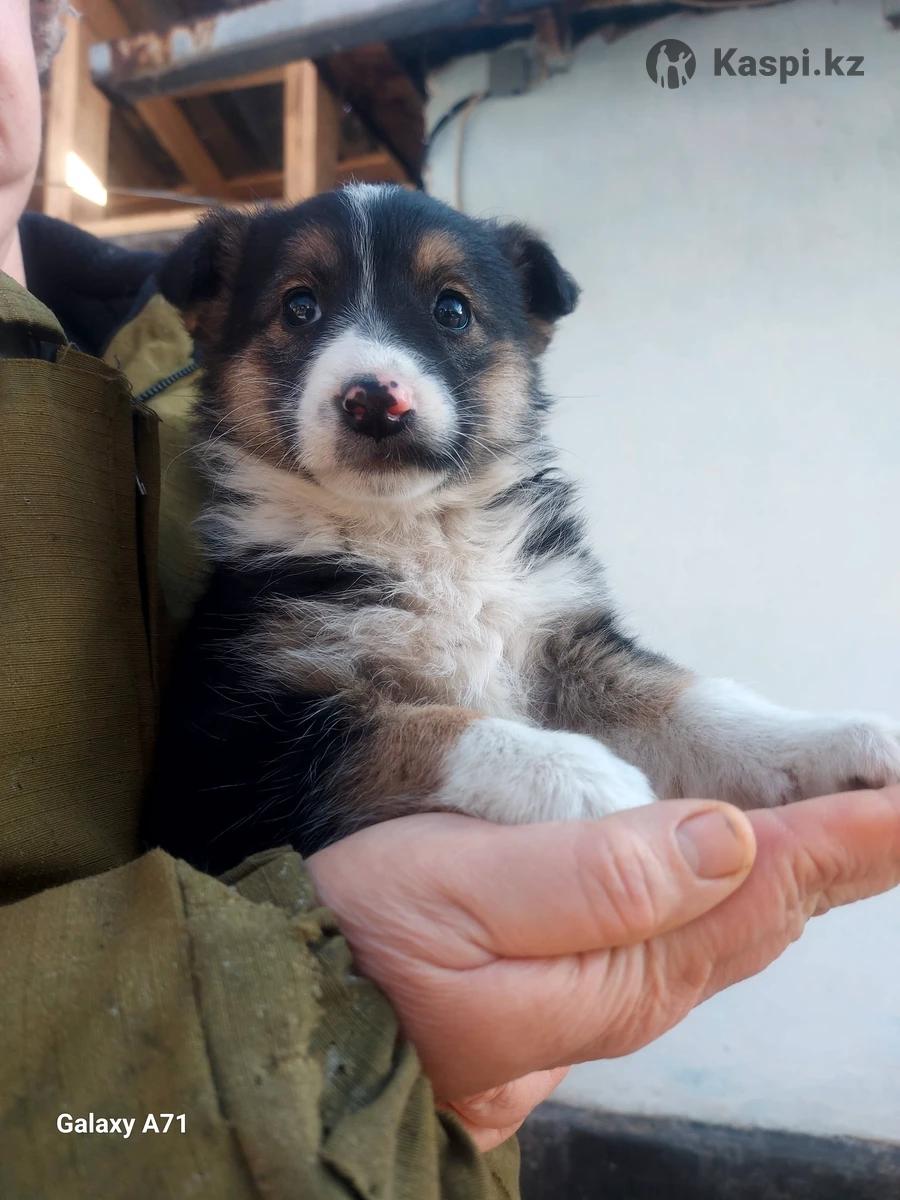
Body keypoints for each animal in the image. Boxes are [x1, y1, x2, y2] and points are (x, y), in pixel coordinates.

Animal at [147, 184, 900, 874]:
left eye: (452, 309)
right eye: (299, 306)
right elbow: (409, 728)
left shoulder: (564, 640)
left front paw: (835, 735)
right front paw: (576, 773)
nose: (374, 399)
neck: (416, 528)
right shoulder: (234, 756)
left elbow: (697, 701)